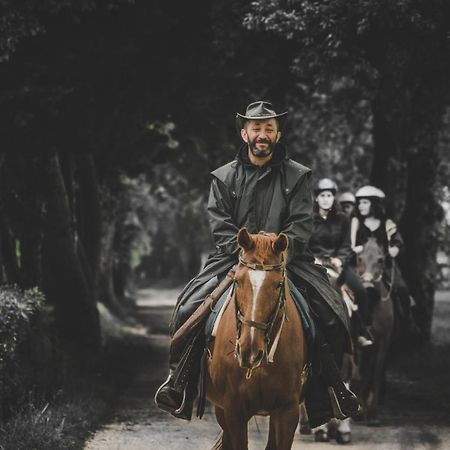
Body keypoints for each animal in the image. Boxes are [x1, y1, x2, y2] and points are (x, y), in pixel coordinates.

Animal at [206, 229, 308, 450]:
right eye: (237, 281)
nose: (249, 352)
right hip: (222, 410)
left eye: (278, 284)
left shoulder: (288, 410)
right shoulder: (234, 409)